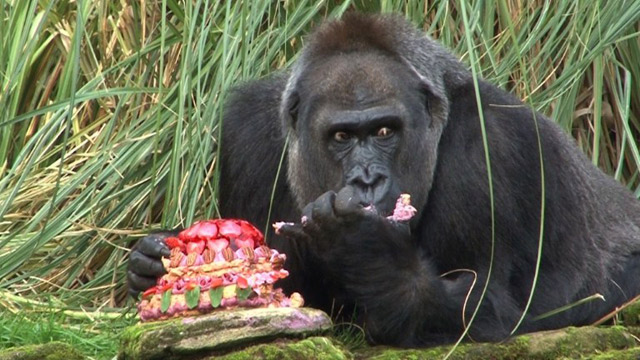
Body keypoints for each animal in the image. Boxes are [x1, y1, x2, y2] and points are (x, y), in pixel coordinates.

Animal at [127, 13, 640, 346]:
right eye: (341, 137)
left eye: (384, 131)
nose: (368, 179)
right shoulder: (246, 132)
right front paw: (148, 263)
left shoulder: (494, 145)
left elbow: (485, 306)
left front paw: (366, 248)